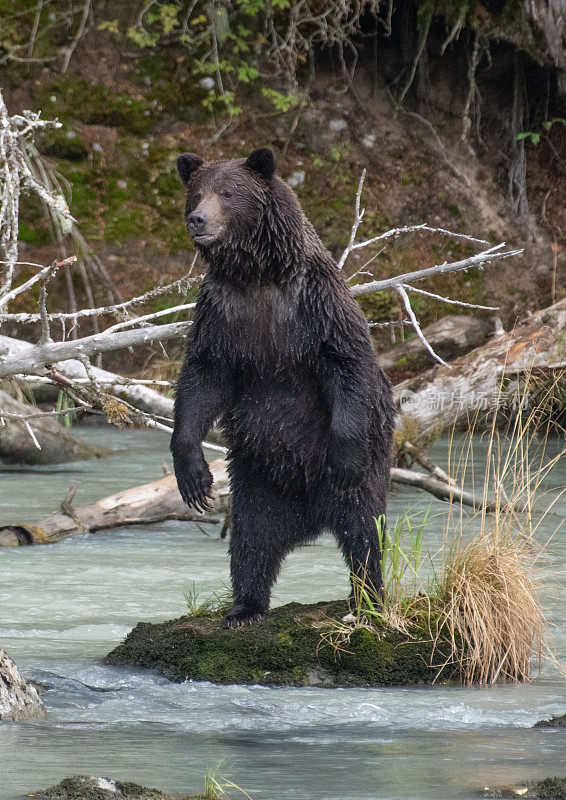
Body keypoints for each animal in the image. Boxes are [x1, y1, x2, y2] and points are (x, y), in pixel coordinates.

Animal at [171, 147, 398, 628]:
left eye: (228, 193)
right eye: (196, 192)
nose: (198, 219)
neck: (256, 276)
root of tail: (311, 518)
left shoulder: (316, 303)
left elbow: (345, 362)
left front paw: (343, 459)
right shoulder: (221, 315)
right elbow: (202, 379)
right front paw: (193, 476)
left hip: (363, 460)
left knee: (363, 529)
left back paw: (367, 599)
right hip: (259, 473)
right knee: (253, 538)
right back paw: (245, 606)